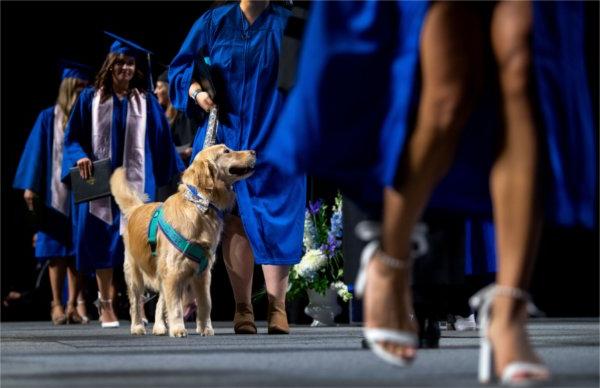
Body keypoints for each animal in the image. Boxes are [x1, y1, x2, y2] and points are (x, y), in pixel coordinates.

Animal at [110, 145, 255, 336]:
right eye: (226, 151)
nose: (253, 152)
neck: (199, 204)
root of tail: (137, 208)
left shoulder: (202, 273)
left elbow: (205, 303)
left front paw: (205, 328)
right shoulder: (174, 271)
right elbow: (176, 307)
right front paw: (178, 328)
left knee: (160, 302)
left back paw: (159, 327)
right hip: (135, 273)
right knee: (136, 303)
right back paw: (137, 327)